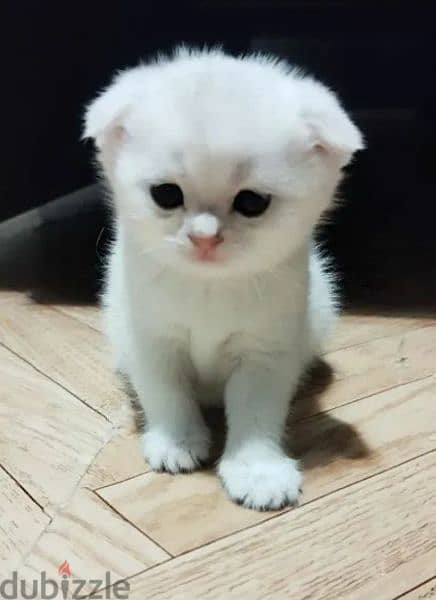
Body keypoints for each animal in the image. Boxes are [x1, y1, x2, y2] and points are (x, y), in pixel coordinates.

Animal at [83, 48, 362, 510]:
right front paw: (176, 442)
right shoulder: (153, 341)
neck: (208, 287)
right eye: (166, 195)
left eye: (252, 203)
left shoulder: (264, 353)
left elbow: (256, 414)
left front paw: (257, 470)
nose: (204, 238)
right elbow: (166, 393)